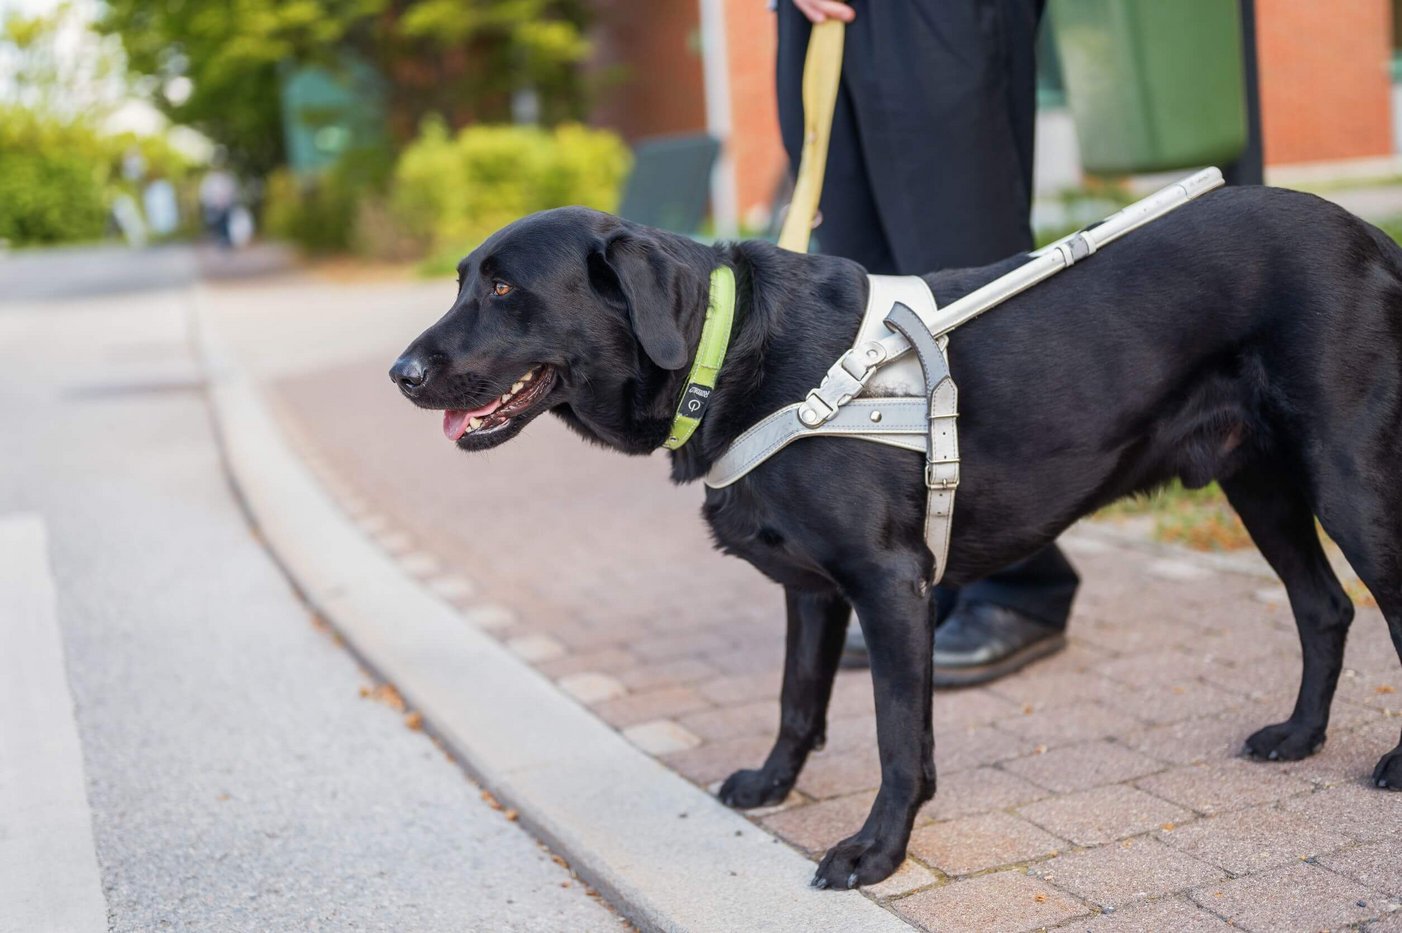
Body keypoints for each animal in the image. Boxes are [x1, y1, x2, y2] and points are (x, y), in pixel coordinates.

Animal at [392, 188, 1402, 886]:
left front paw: (876, 852)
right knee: (1323, 608)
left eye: (505, 287)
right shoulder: (811, 590)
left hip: (1348, 477)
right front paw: (772, 785)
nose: (400, 372)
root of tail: (1368, 233)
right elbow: (798, 702)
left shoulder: (890, 585)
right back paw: (1300, 734)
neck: (736, 356)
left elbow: (894, 737)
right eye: (462, 279)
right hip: (1257, 480)